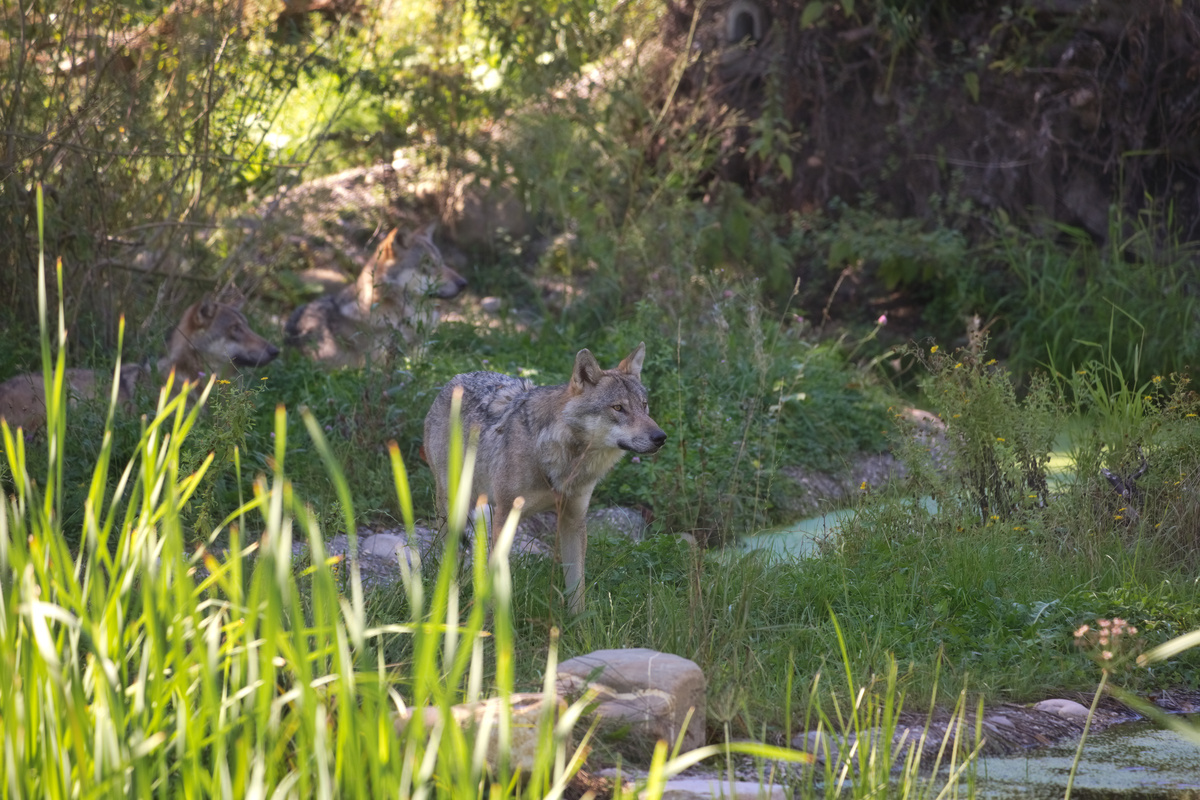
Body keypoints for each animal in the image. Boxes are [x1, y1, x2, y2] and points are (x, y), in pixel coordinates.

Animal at [423, 343, 666, 614]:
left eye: (644, 406)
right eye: (618, 408)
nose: (660, 437)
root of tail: (454, 379)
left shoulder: (573, 520)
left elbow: (577, 589)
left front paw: (578, 625)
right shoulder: (506, 516)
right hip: (455, 507)